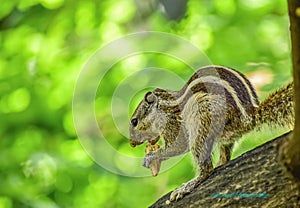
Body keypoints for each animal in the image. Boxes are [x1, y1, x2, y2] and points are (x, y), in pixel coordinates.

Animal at [128, 65, 292, 202]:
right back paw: (220, 163)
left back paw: (187, 186)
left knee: (206, 168)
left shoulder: (172, 123)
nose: (131, 143)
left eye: (134, 121)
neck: (162, 108)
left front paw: (150, 157)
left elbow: (179, 145)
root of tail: (248, 116)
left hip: (203, 116)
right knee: (224, 155)